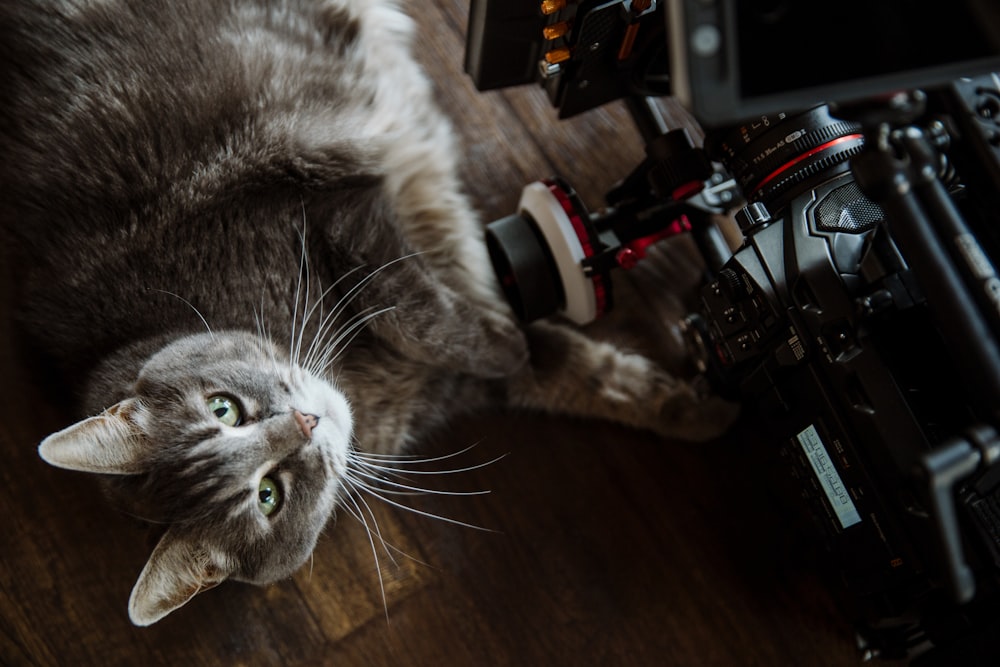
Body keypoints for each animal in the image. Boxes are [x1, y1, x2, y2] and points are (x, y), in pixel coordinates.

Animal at [0, 0, 736, 628]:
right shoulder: (452, 379)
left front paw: (503, 336)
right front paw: (703, 408)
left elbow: (411, 307)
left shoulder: (335, 212)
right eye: (269, 497)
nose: (305, 421)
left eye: (223, 408)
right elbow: (581, 373)